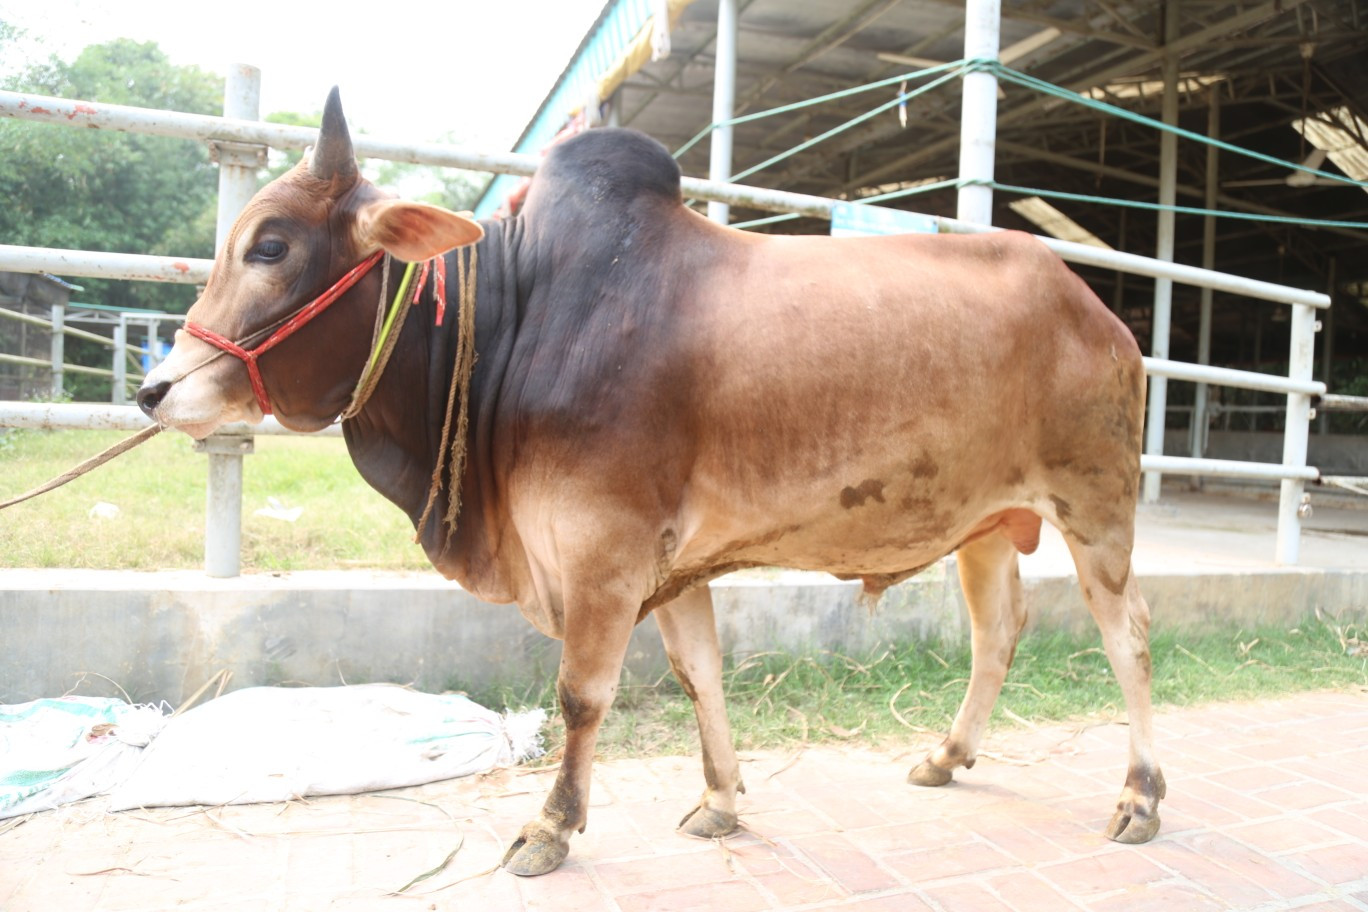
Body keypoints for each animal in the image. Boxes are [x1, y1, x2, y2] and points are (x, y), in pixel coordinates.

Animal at [137, 89, 1164, 876]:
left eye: (270, 246)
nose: (156, 389)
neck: (517, 319)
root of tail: (1097, 309)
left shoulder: (604, 552)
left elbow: (581, 696)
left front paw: (550, 828)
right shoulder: (673, 565)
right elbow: (697, 673)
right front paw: (720, 800)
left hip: (1096, 506)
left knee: (1128, 637)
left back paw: (1140, 797)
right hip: (986, 526)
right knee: (999, 634)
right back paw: (949, 756)